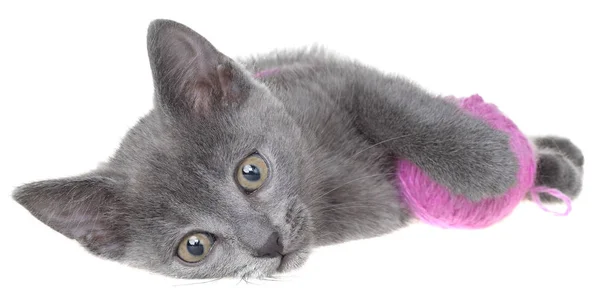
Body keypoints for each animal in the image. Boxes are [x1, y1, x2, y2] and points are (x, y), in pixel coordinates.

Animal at [12, 19, 580, 280]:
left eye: (252, 172)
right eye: (194, 247)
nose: (267, 244)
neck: (324, 196)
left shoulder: (334, 79)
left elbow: (398, 108)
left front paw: (488, 163)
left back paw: (549, 158)